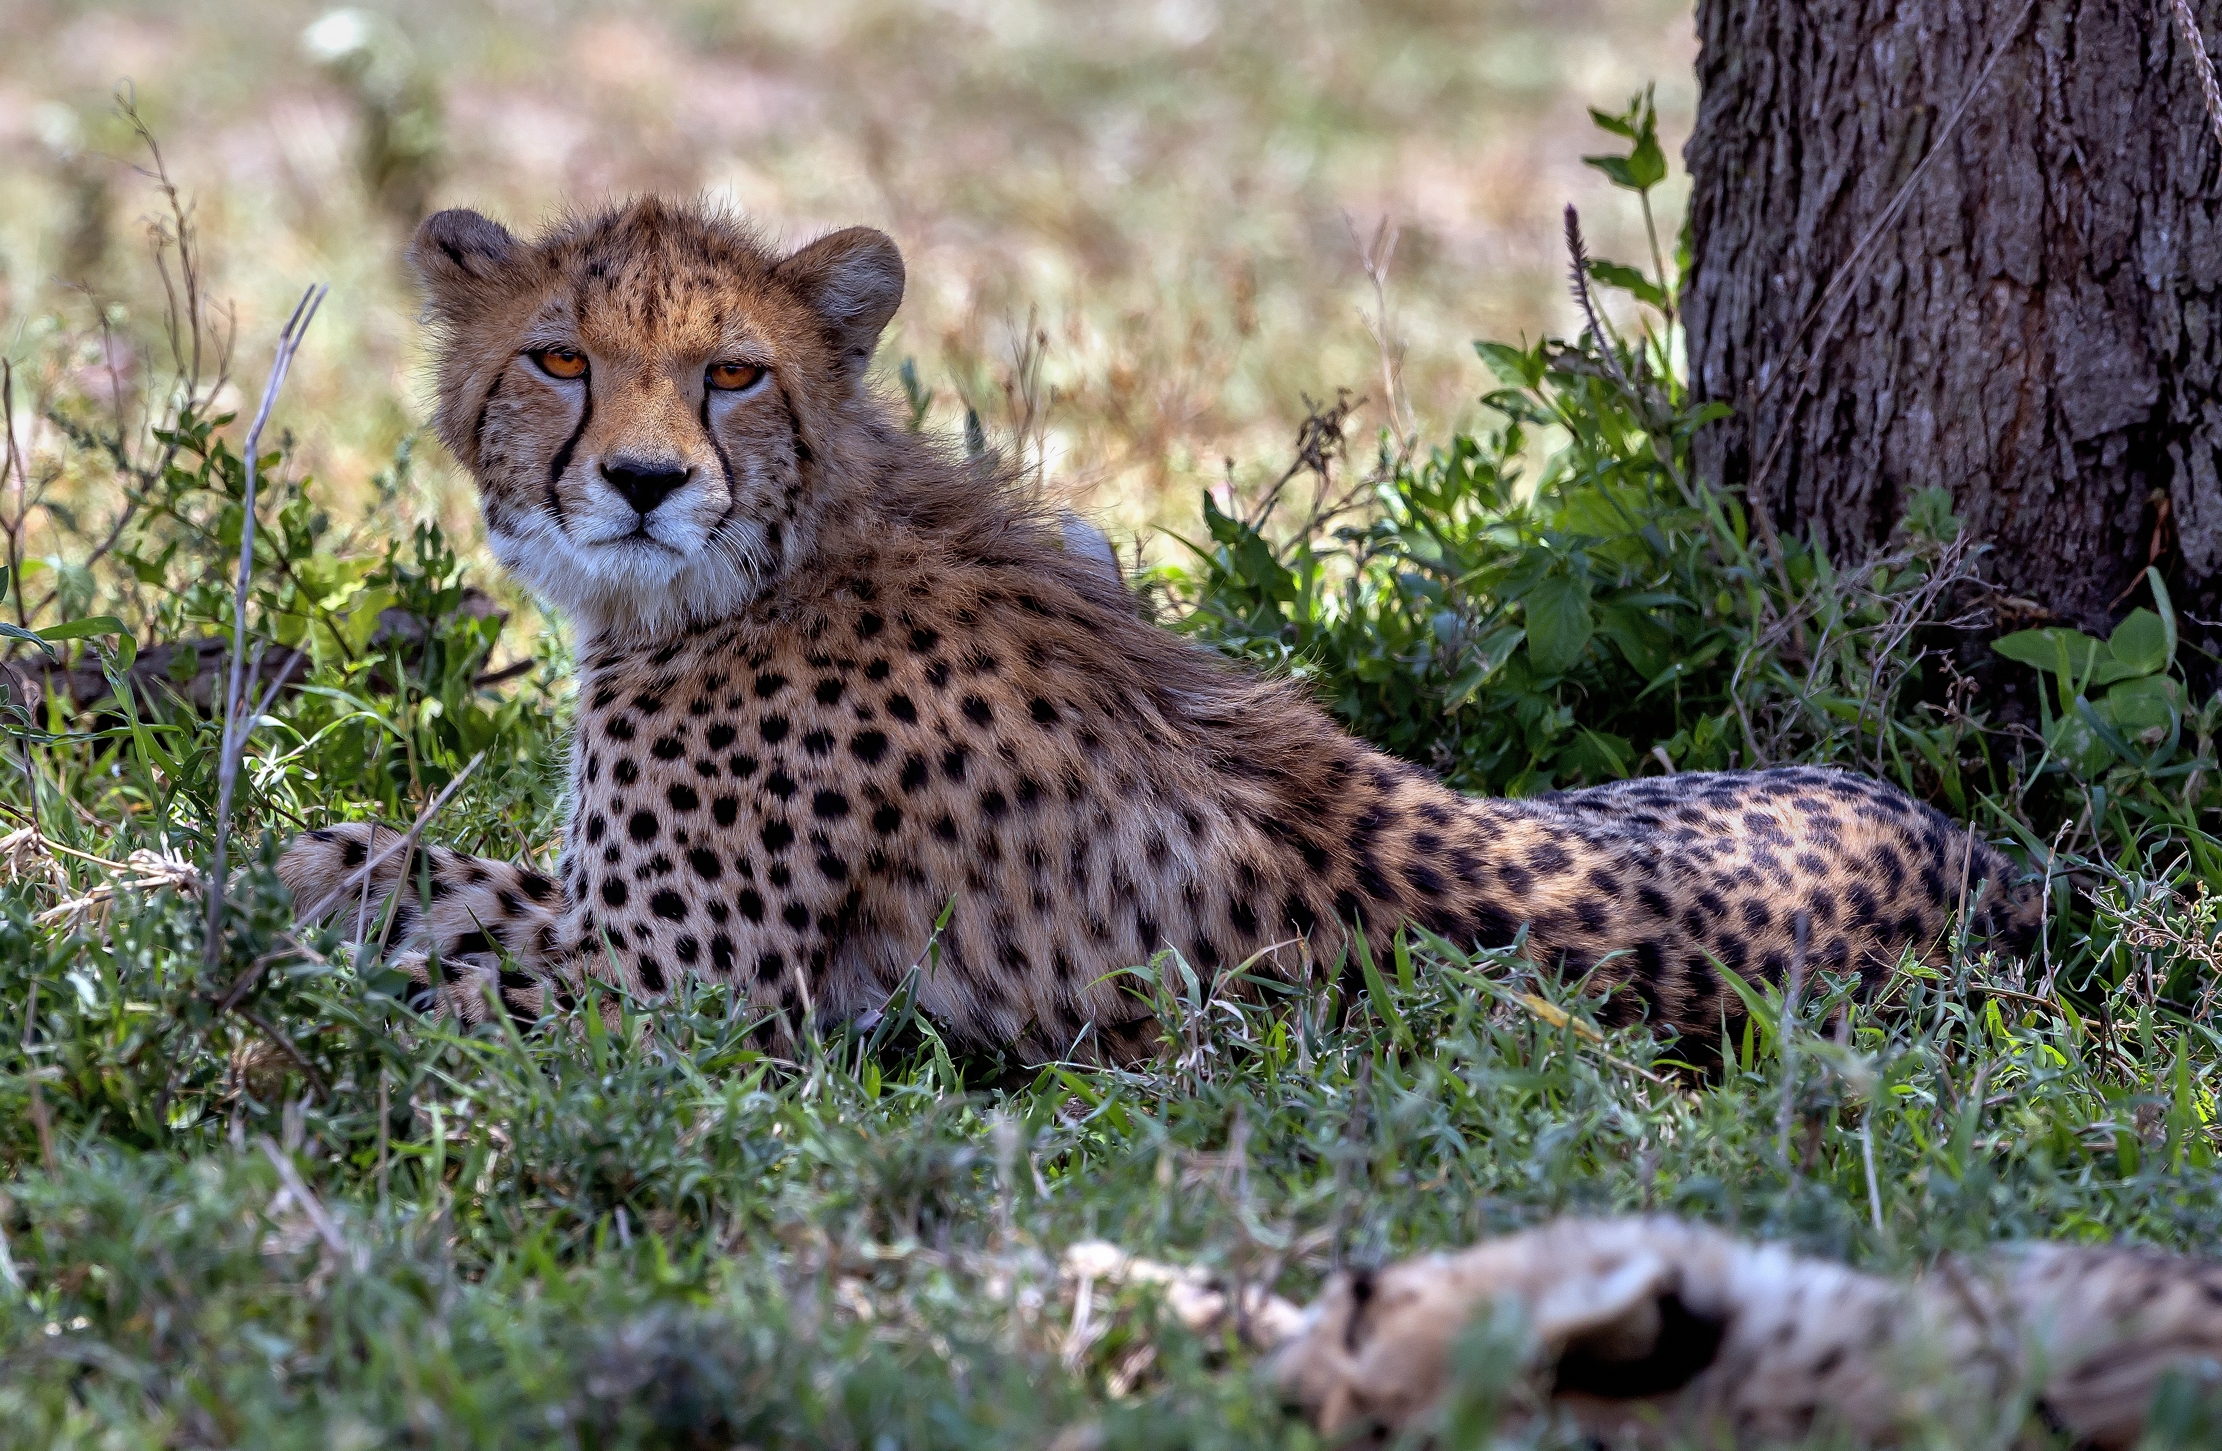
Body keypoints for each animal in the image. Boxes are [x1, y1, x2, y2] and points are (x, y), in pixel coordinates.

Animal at [277, 197, 2042, 1064]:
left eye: (732, 372)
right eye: (562, 358)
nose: (643, 482)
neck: (785, 544)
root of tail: (1998, 865)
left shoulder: (666, 992)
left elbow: (408, 969)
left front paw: (232, 974)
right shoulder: (599, 921)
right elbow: (361, 855)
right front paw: (245, 884)